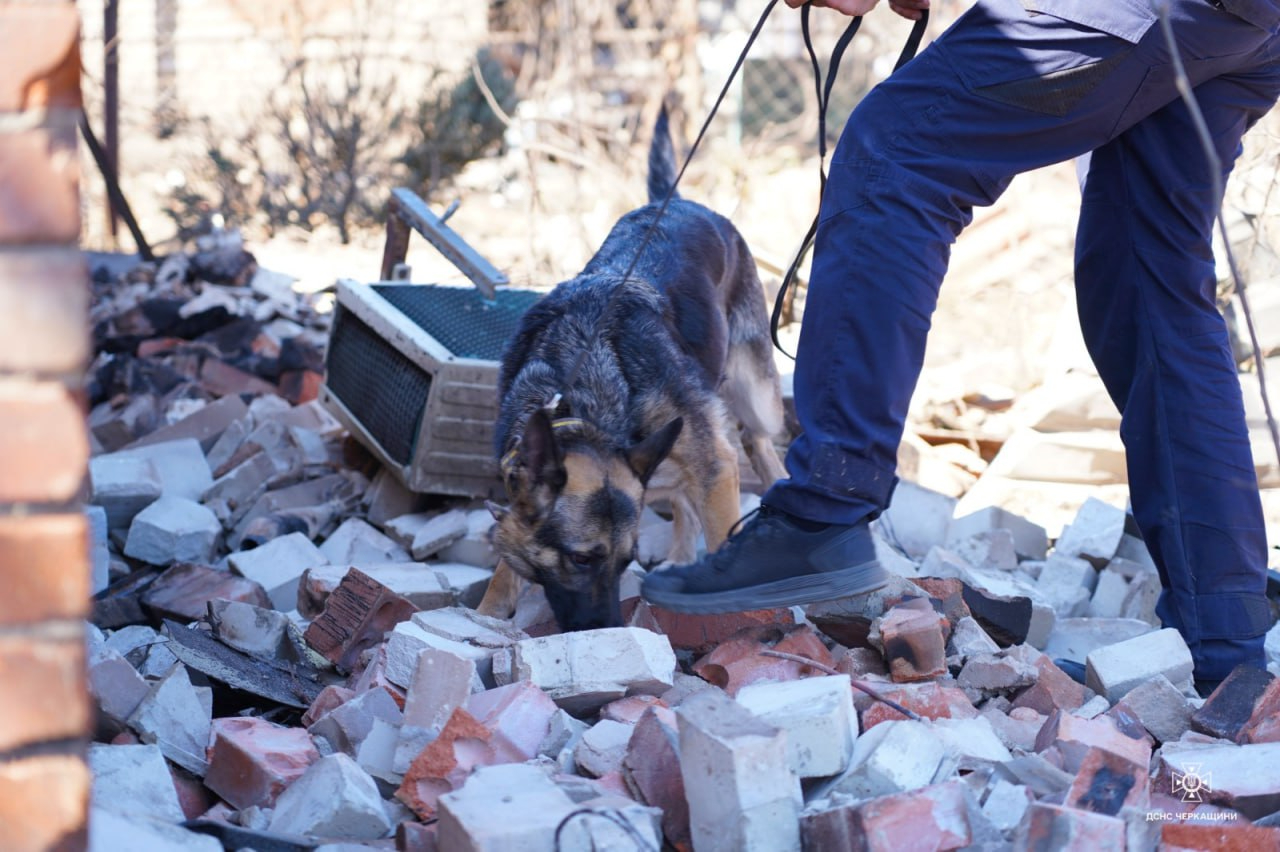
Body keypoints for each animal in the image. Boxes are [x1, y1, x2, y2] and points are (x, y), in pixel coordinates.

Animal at [476, 106, 783, 626]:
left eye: (626, 562)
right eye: (582, 558)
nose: (608, 627)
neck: (580, 391)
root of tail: (675, 200)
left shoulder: (715, 464)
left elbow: (723, 532)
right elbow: (504, 571)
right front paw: (486, 613)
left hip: (753, 396)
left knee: (759, 442)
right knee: (684, 494)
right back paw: (681, 557)